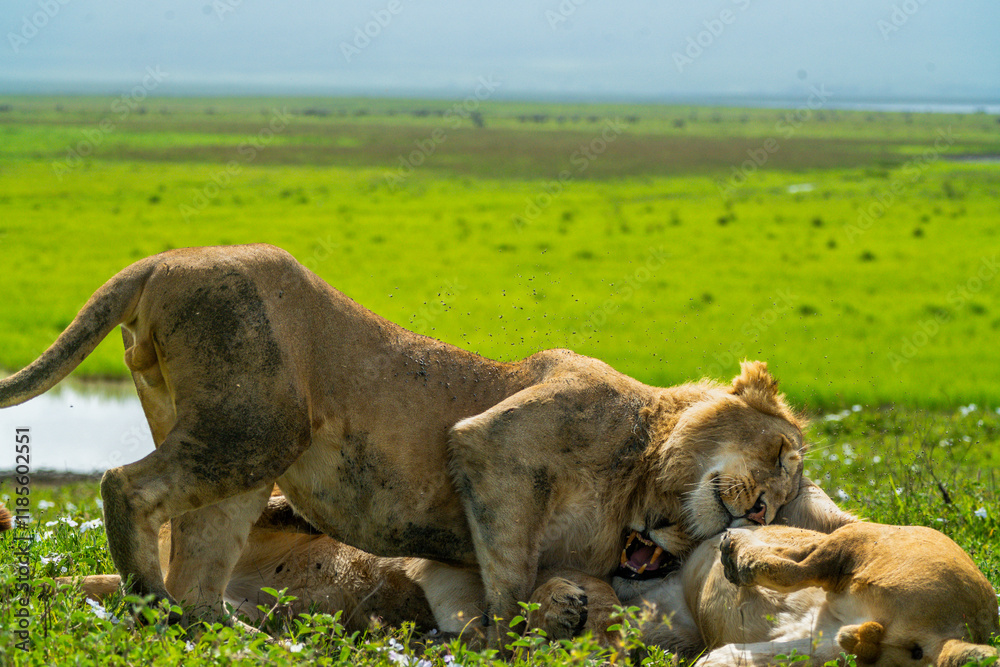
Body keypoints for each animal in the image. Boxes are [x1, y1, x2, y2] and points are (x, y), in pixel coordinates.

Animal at [0, 244, 835, 646]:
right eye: (780, 456)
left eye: (784, 497)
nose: (762, 509)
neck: (641, 494)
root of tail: (159, 261)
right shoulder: (497, 441)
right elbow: (510, 569)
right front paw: (517, 634)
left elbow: (518, 573)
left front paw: (548, 612)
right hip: (256, 423)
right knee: (124, 484)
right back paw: (151, 605)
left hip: (244, 450)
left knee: (201, 572)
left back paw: (237, 636)